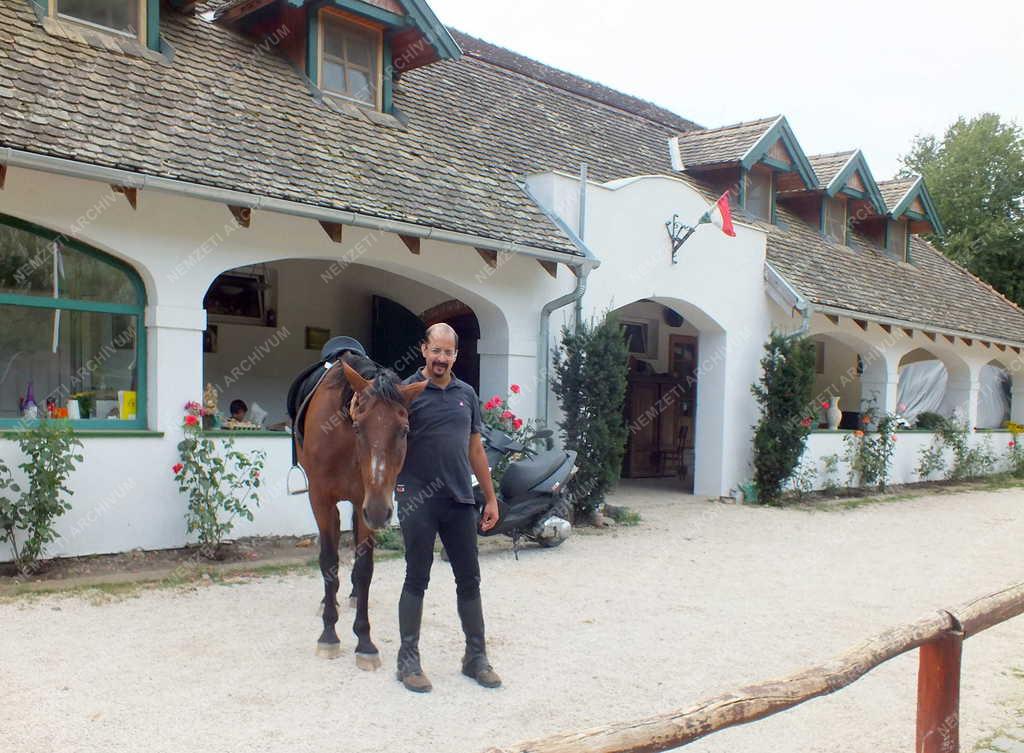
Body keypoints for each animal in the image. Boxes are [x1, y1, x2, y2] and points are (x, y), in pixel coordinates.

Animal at [296, 352, 423, 672]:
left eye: (403, 431)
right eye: (358, 429)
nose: (379, 512)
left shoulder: (366, 500)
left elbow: (364, 568)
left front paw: (364, 641)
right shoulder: (321, 499)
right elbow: (328, 561)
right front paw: (329, 634)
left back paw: (352, 595)